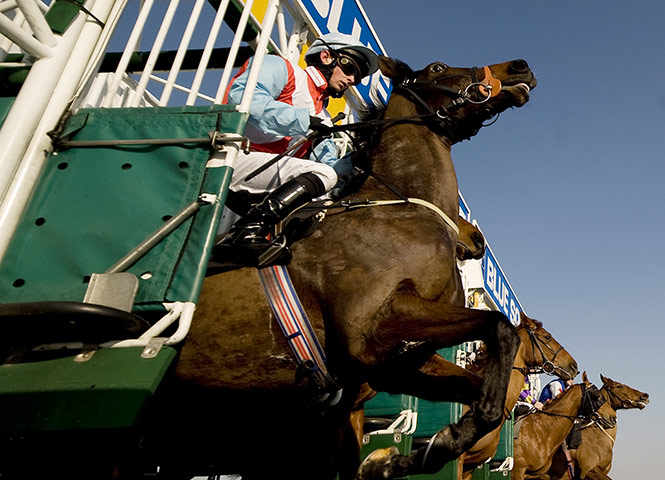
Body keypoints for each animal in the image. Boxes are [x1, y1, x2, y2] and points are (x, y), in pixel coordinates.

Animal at [149, 56, 536, 480]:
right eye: (437, 67)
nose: (518, 67)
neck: (400, 205)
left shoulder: (395, 365)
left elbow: (481, 396)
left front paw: (403, 457)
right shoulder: (370, 327)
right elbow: (499, 327)